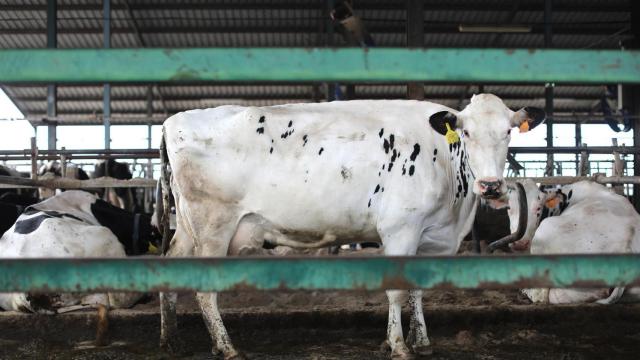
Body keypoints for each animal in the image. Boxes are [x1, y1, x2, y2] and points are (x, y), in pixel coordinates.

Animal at [158, 94, 544, 358]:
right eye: (466, 133)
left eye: (508, 132)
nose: (490, 185)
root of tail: (172, 121)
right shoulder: (400, 229)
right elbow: (397, 290)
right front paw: (398, 345)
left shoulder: (433, 237)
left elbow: (418, 289)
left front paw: (421, 340)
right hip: (213, 227)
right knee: (205, 291)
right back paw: (226, 347)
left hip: (188, 229)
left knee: (169, 267)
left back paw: (170, 338)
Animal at [504, 180, 640, 304]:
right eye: (509, 208)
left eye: (538, 208)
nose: (519, 243)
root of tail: (626, 247)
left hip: (544, 230)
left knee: (542, 295)